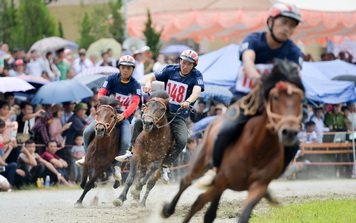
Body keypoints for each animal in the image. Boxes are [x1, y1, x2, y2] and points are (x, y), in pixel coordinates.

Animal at [161, 59, 304, 223]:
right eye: (275, 97)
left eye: (301, 100)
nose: (289, 132)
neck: (258, 150)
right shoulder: (222, 180)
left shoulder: (258, 186)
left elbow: (242, 214)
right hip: (200, 161)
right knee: (186, 182)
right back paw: (168, 209)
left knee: (200, 201)